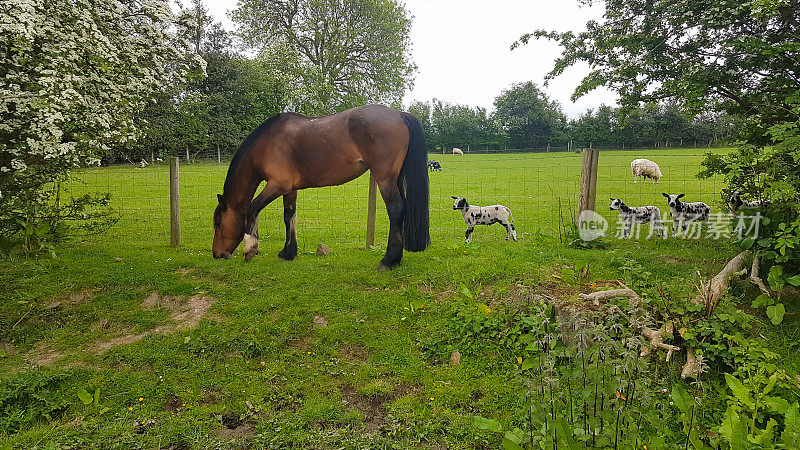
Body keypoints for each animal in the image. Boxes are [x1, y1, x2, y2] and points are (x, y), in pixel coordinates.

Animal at [209, 103, 428, 268]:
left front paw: (250, 249)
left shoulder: (277, 185)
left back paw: (388, 260)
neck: (267, 144)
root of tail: (400, 114)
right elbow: (289, 216)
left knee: (396, 211)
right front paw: (288, 253)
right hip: (395, 179)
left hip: (384, 178)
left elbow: (253, 208)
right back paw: (397, 259)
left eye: (218, 222)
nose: (217, 254)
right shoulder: (290, 189)